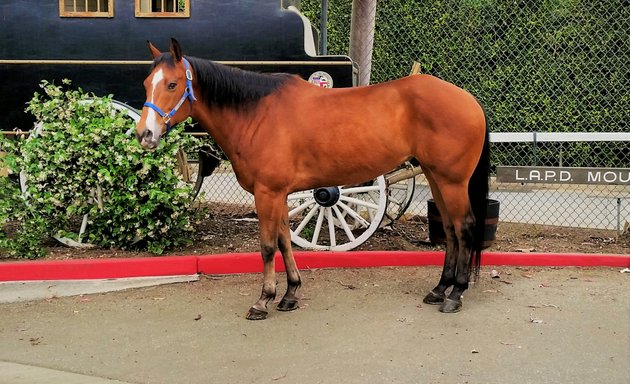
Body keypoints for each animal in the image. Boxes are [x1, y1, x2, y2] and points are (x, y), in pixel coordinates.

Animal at [137, 39, 494, 320]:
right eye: (146, 83)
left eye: (172, 85)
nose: (145, 135)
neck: (256, 113)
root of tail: (469, 100)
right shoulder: (279, 194)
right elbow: (284, 241)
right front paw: (290, 294)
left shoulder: (267, 193)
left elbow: (268, 245)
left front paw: (264, 300)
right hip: (435, 176)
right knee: (449, 229)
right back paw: (440, 288)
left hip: (452, 180)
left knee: (464, 227)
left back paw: (456, 293)